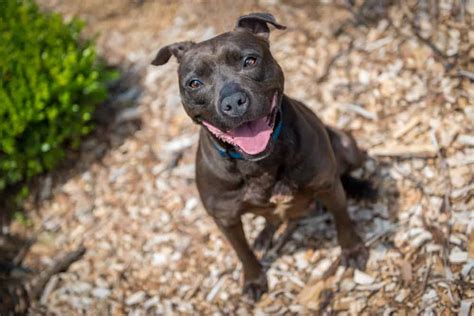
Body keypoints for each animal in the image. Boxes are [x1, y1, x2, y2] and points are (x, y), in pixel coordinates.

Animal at [154, 12, 376, 302]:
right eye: (194, 83)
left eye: (250, 60)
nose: (233, 101)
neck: (258, 164)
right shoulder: (225, 219)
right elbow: (243, 252)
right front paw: (253, 279)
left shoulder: (327, 185)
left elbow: (343, 220)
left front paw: (353, 250)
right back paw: (264, 235)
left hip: (347, 145)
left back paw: (362, 188)